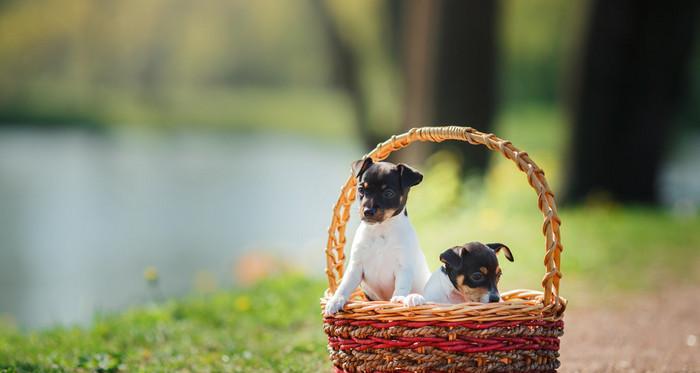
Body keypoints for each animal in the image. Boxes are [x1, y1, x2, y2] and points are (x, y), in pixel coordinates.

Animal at [324, 157, 432, 314]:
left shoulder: (403, 268)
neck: (381, 230)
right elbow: (344, 286)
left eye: (388, 193)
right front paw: (335, 301)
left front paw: (398, 299)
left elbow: (401, 286)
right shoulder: (355, 267)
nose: (367, 211)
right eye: (361, 189)